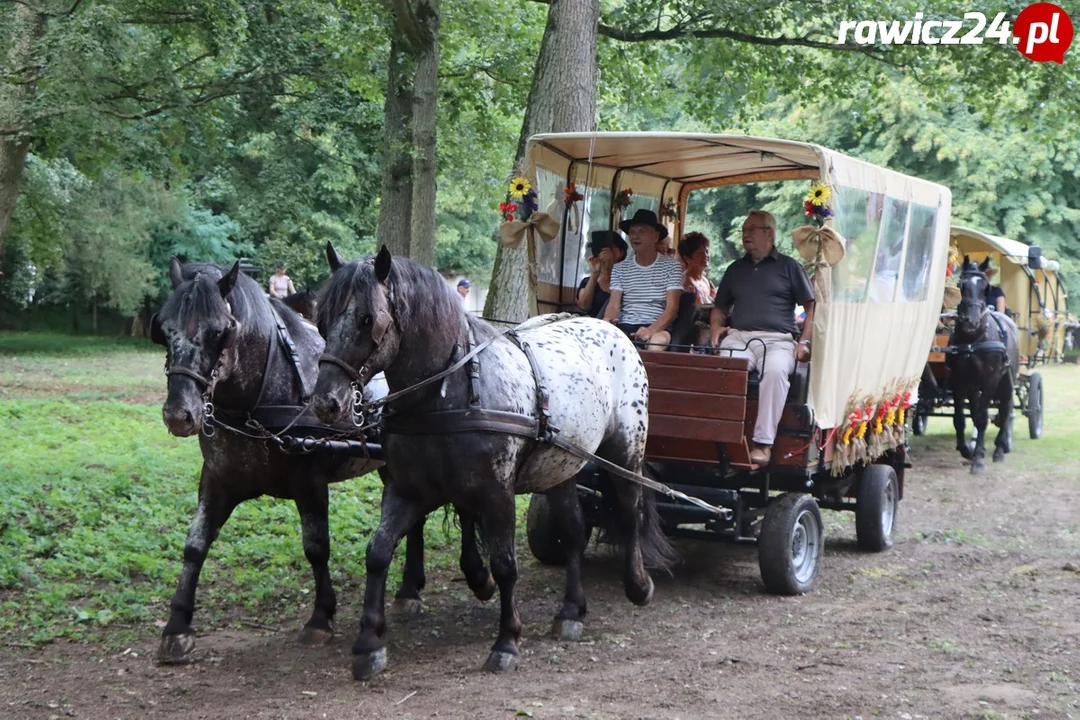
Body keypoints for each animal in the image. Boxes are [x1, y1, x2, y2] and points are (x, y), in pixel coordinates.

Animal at [149, 257, 460, 664]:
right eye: (163, 330)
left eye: (220, 331)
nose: (179, 414)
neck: (257, 401)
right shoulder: (217, 481)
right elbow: (195, 545)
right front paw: (177, 627)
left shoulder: (309, 483)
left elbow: (316, 547)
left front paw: (321, 617)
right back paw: (409, 590)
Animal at [950, 257, 1015, 472]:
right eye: (961, 285)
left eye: (984, 287)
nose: (972, 321)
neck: (973, 340)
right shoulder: (959, 381)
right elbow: (960, 418)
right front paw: (966, 449)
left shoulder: (990, 380)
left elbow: (982, 418)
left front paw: (978, 458)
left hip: (1006, 382)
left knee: (1005, 410)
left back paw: (999, 449)